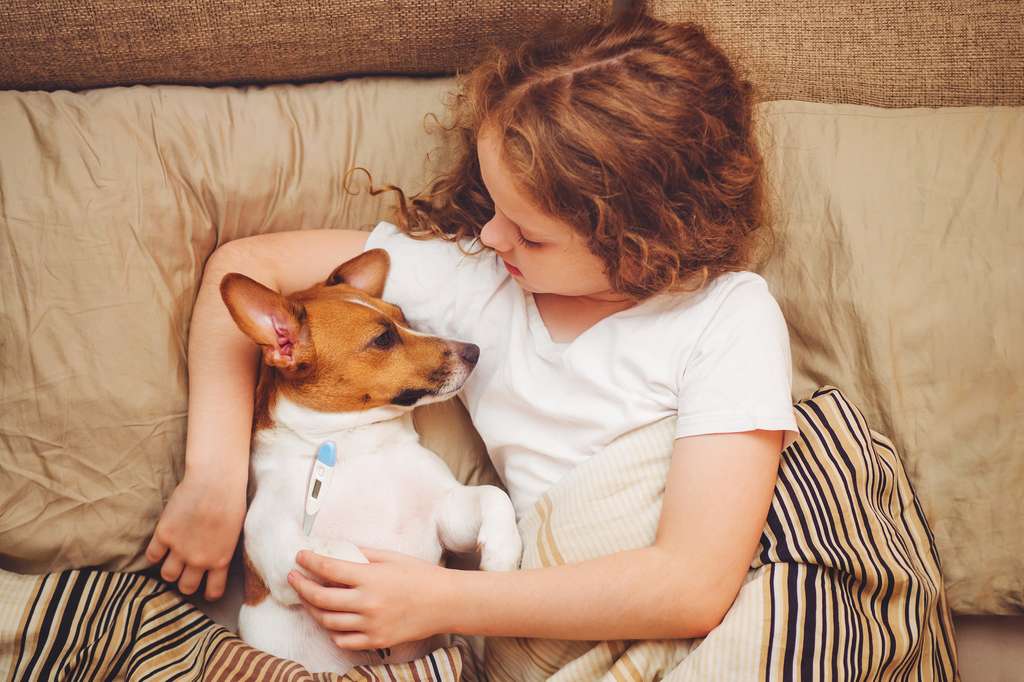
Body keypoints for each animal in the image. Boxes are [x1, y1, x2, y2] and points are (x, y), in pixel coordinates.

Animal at [216, 246, 520, 671]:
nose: (474, 351)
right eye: (383, 339)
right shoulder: (276, 547)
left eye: (403, 317)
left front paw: (503, 555)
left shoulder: (448, 517)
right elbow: (337, 551)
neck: (357, 446)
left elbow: (493, 495)